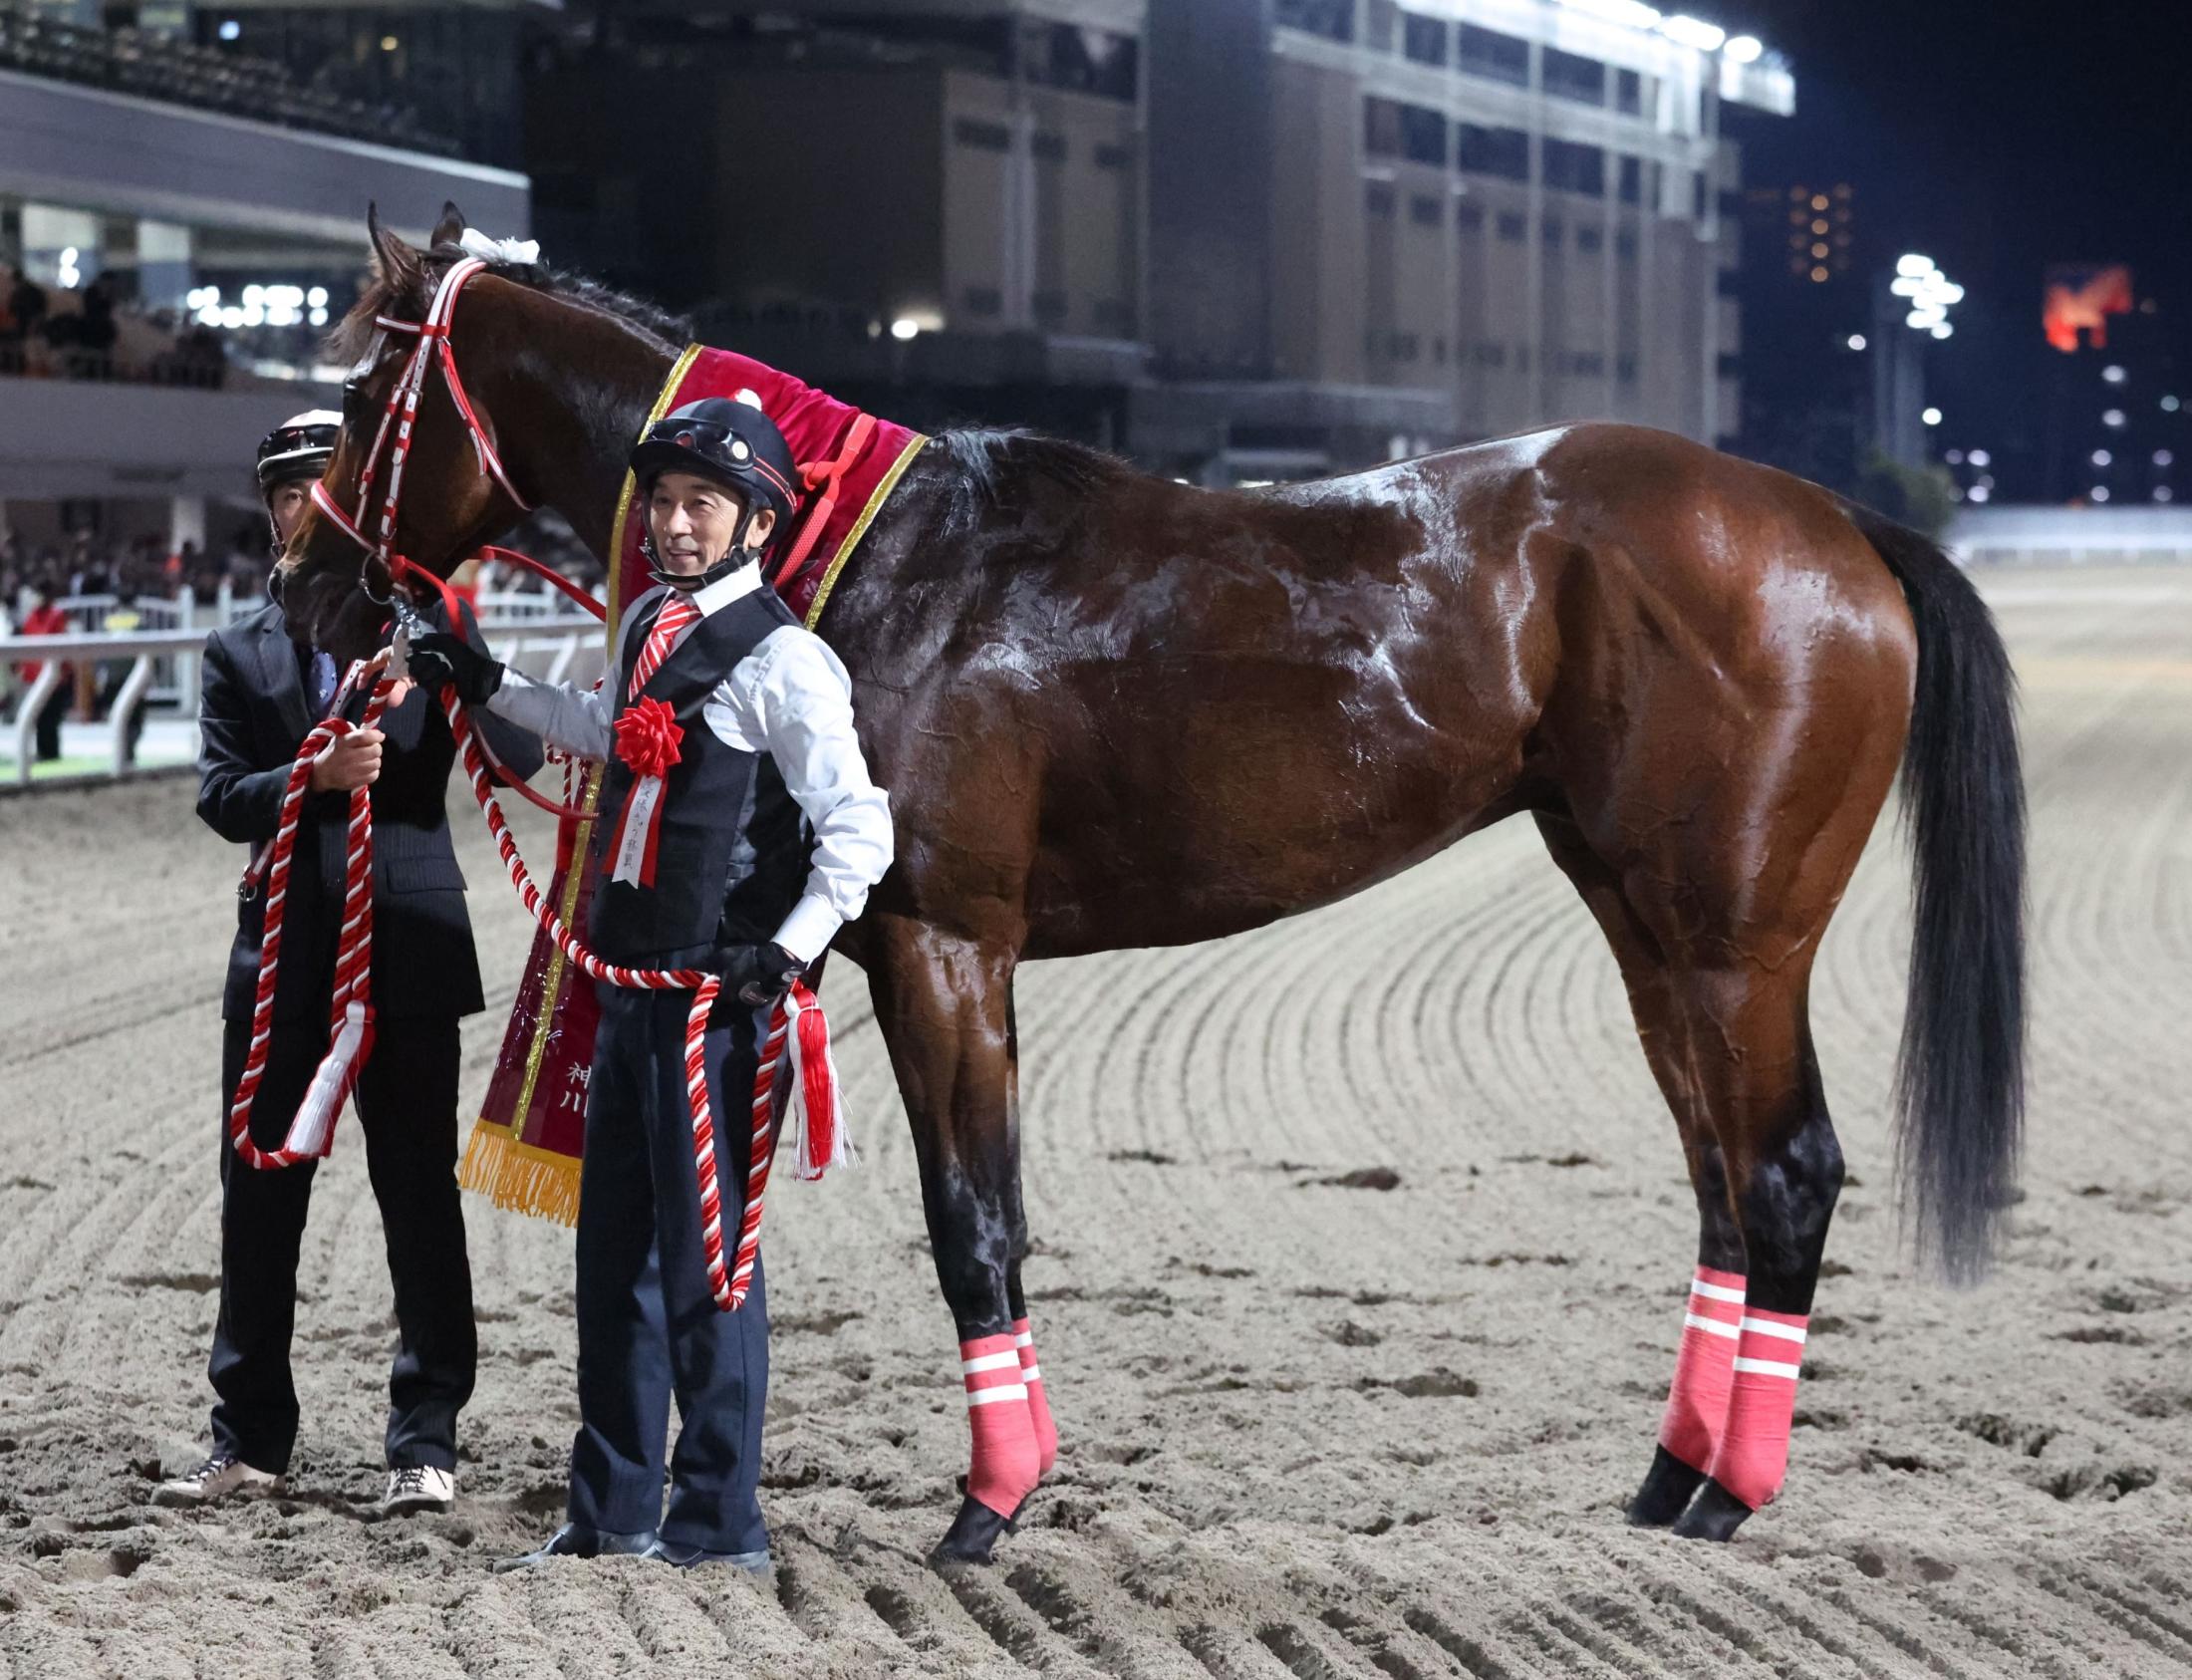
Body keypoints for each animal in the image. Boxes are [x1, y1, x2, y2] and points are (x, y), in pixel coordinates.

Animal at [274, 206, 2017, 1561]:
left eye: (357, 383)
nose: (306, 584)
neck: (879, 564)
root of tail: (1836, 519)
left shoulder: (943, 945)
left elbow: (975, 1219)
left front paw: (991, 1503)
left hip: (1737, 944)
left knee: (1785, 1171)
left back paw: (1729, 1496)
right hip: (1649, 932)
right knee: (1723, 1179)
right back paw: (1671, 1479)